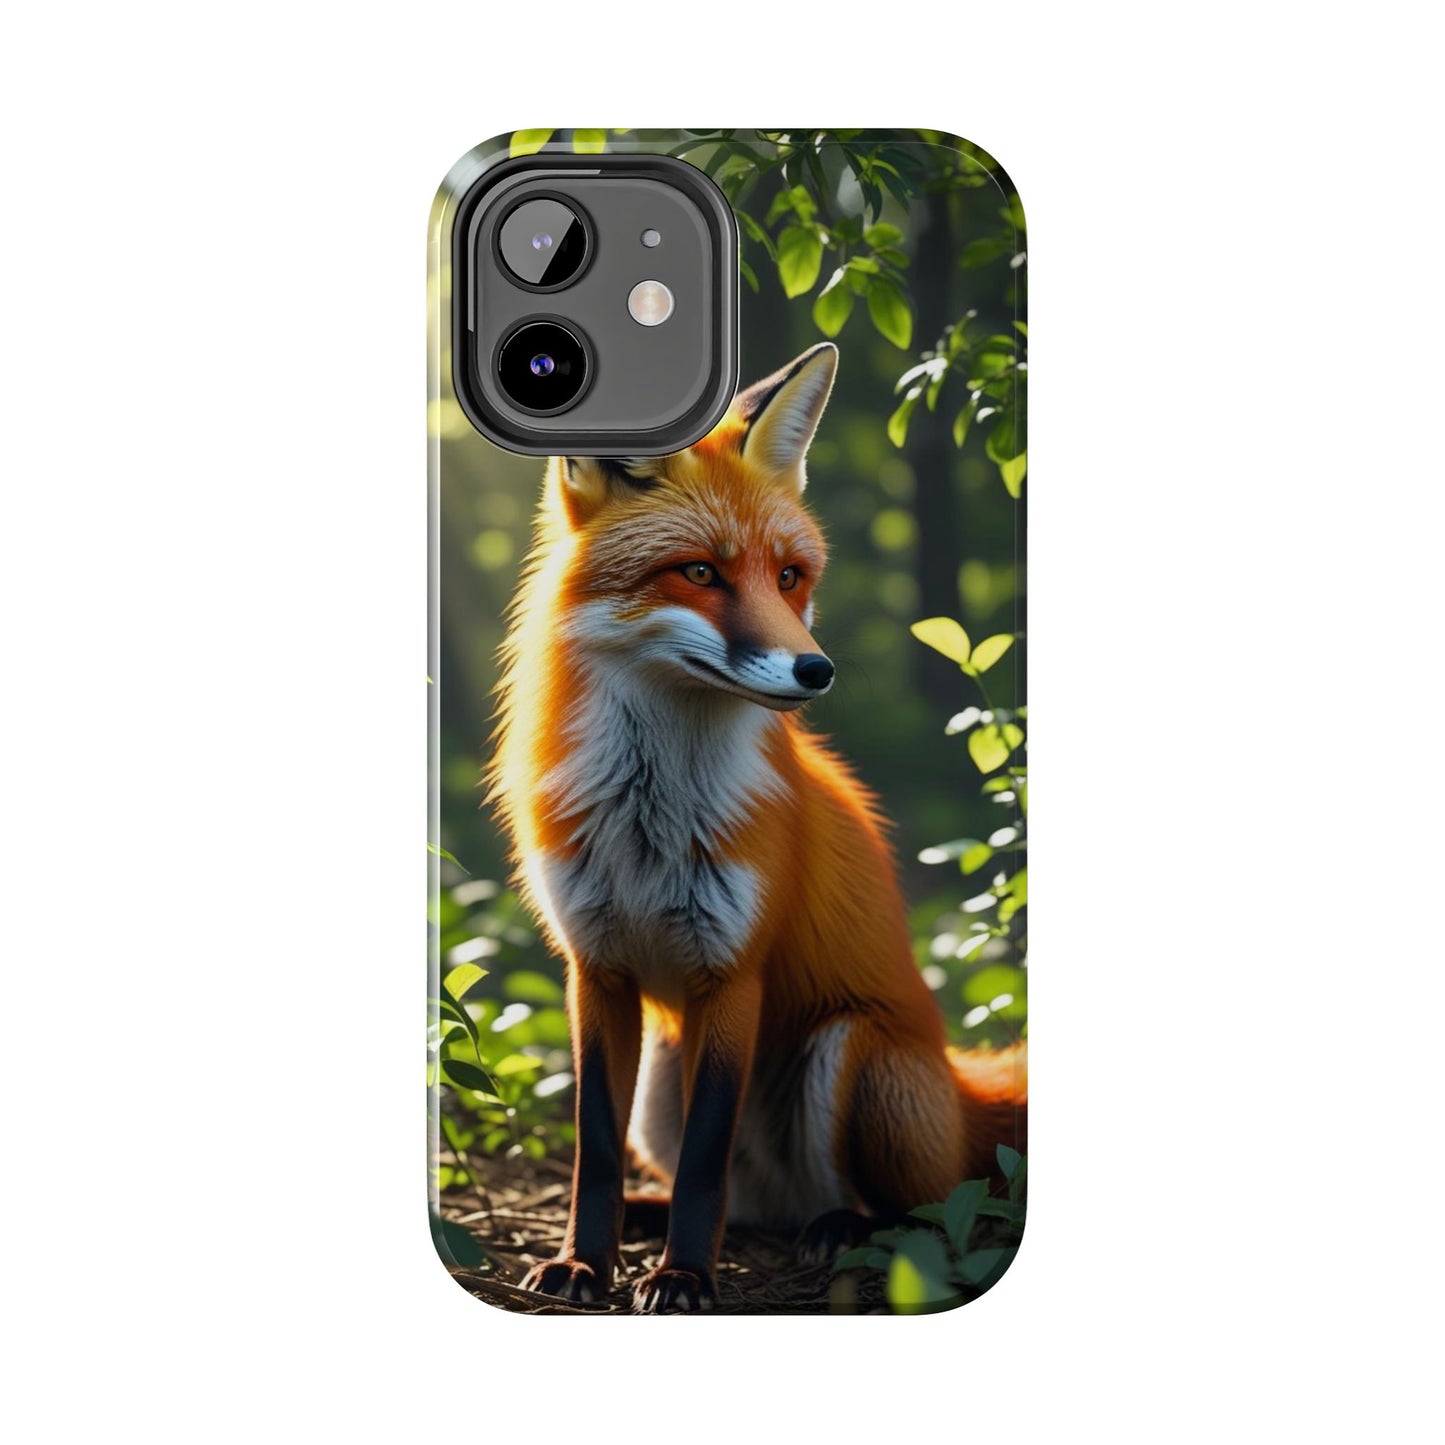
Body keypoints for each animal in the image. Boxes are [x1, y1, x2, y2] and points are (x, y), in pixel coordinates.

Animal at [489, 341, 1027, 1313]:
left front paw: (685, 1277)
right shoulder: (596, 968)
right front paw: (585, 1261)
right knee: (742, 1203)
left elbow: (706, 1158)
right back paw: (660, 1215)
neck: (649, 821)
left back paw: (838, 1227)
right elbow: (595, 1147)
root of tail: (960, 1082)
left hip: (853, 1056)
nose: (816, 670)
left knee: (916, 1211)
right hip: (661, 1080)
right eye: (699, 572)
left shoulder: (731, 972)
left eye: (788, 576)